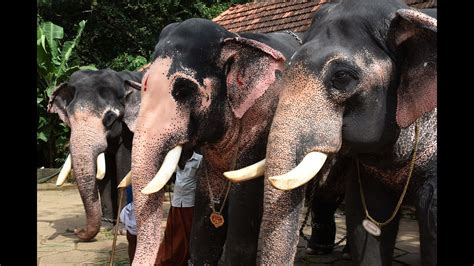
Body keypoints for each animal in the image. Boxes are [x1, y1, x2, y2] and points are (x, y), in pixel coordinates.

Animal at [48, 68, 145, 241]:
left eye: (110, 117)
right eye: (69, 117)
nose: (77, 231)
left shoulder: (130, 131)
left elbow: (123, 168)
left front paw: (120, 231)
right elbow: (104, 176)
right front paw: (106, 227)